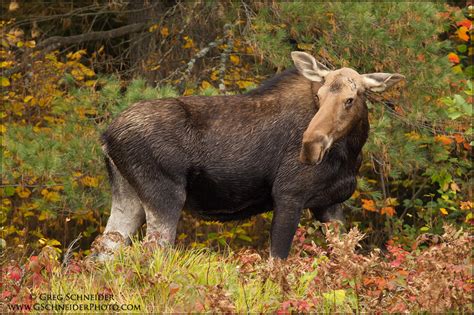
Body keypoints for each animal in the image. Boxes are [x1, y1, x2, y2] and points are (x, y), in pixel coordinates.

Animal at [90, 51, 406, 260]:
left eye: (350, 99)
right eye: (319, 96)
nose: (310, 146)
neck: (351, 151)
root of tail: (107, 137)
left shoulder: (330, 204)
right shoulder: (289, 195)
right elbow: (277, 263)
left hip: (128, 197)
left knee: (104, 254)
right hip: (165, 195)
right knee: (150, 255)